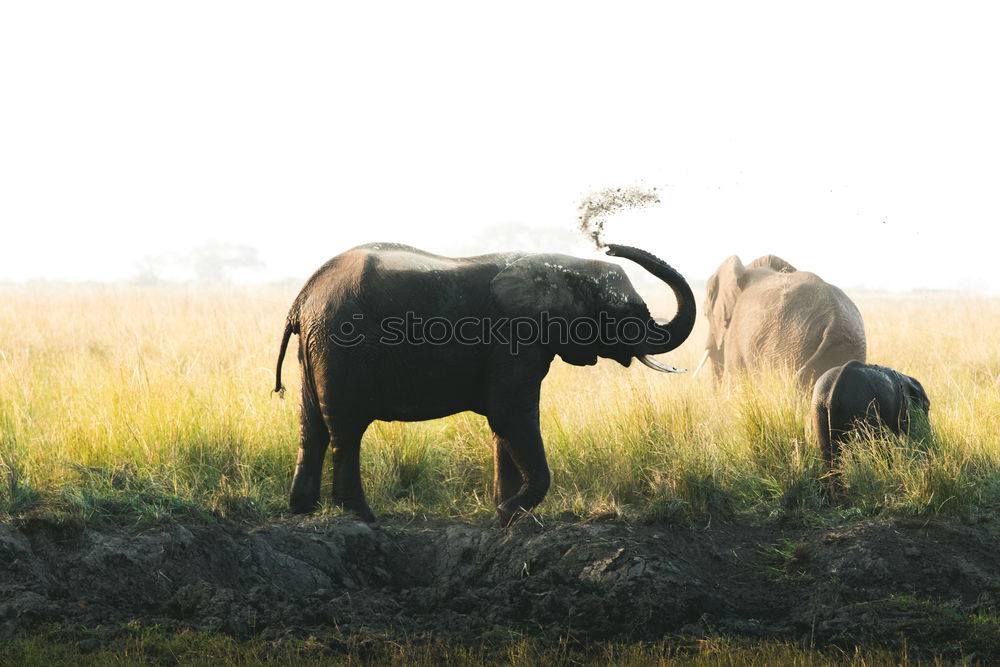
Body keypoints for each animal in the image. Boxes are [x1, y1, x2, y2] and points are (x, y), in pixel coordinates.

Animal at [274, 243, 696, 524]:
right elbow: (510, 415)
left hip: (317, 346)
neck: (558, 265)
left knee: (311, 426)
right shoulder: (516, 337)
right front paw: (507, 514)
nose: (609, 245)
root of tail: (302, 298)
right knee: (346, 430)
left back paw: (302, 511)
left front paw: (504, 516)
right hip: (342, 344)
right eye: (630, 314)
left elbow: (503, 425)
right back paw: (361, 516)